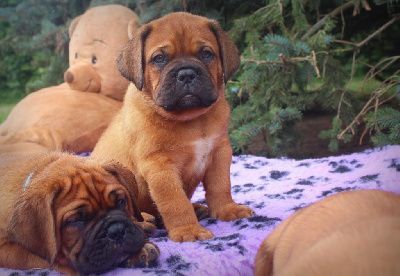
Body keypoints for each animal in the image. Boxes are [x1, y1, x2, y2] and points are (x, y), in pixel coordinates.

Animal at [91, 12, 253, 242]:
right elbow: (175, 202)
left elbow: (221, 185)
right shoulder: (160, 166)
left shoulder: (220, 152)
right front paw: (189, 231)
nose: (186, 74)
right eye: (159, 58)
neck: (192, 119)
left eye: (206, 54)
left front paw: (228, 209)